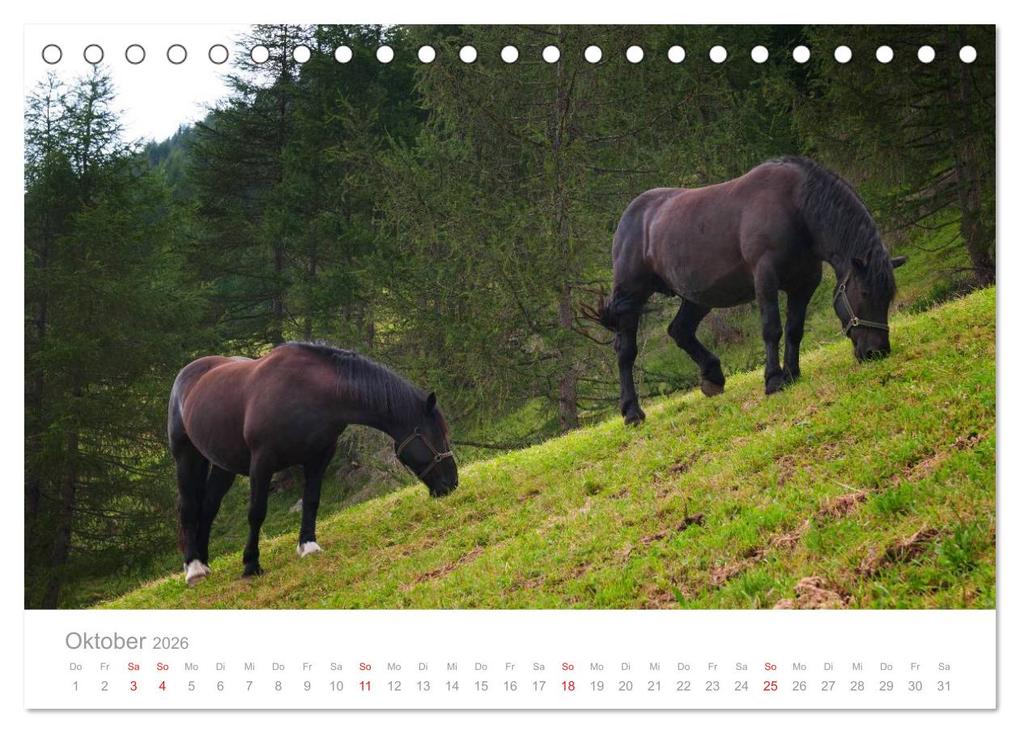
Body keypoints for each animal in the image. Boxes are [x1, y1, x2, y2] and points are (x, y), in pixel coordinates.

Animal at [167, 342, 458, 586]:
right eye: (437, 436)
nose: (452, 484)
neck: (309, 392)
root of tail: (188, 374)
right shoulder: (262, 463)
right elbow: (257, 512)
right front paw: (251, 564)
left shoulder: (319, 458)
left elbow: (312, 500)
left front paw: (308, 545)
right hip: (186, 456)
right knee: (188, 507)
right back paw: (194, 568)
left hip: (223, 466)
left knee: (208, 508)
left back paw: (203, 561)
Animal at [592, 156, 907, 425]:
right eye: (864, 294)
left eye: (887, 297)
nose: (876, 351)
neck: (794, 206)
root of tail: (631, 215)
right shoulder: (765, 279)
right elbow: (772, 329)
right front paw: (774, 380)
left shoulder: (804, 285)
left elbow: (794, 330)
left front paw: (792, 374)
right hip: (631, 296)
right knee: (626, 351)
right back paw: (632, 412)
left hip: (697, 297)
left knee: (680, 330)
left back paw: (713, 377)